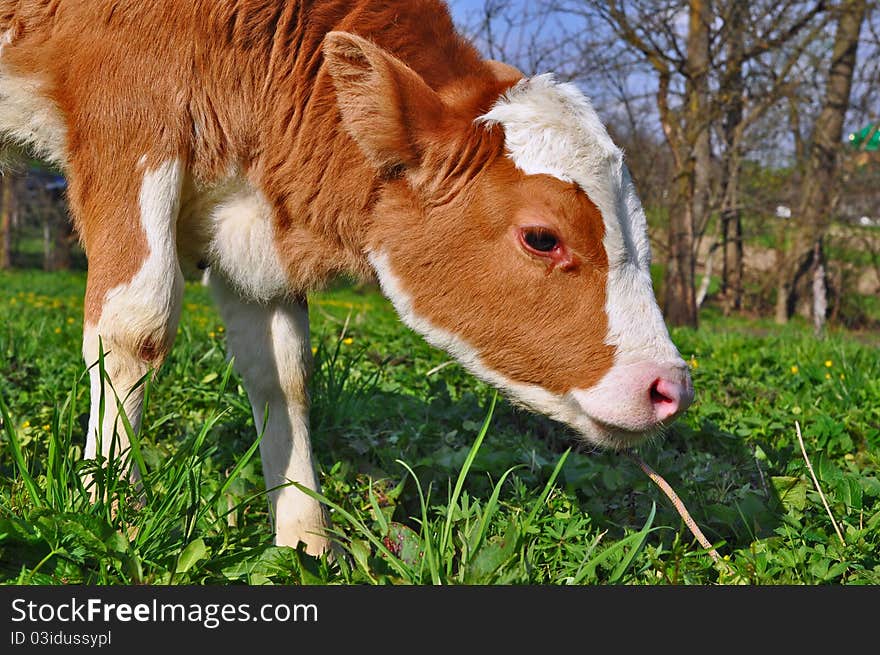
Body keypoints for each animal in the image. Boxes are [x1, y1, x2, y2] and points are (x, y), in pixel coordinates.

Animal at [0, 0, 696, 556]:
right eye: (543, 237)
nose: (670, 387)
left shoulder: (255, 223)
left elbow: (283, 373)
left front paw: (306, 542)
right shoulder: (128, 118)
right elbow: (135, 326)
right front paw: (111, 513)